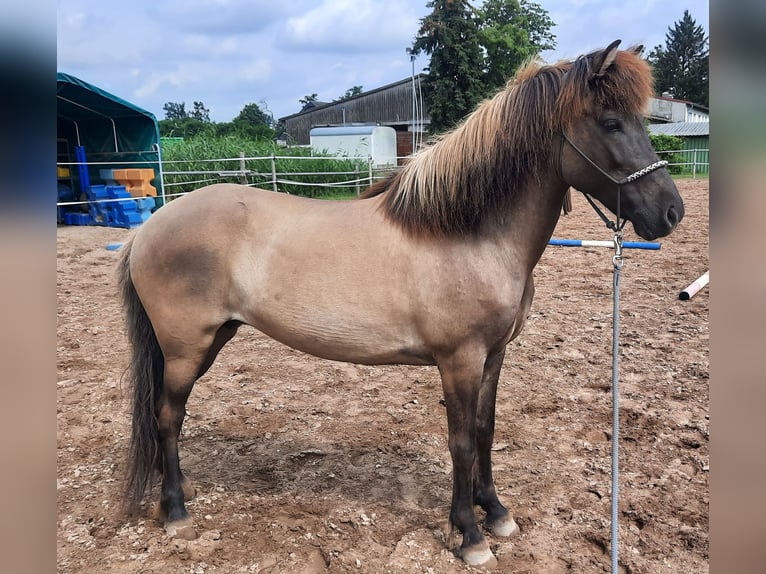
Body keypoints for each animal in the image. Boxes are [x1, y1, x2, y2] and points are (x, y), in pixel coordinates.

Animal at [118, 40, 683, 568]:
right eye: (611, 123)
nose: (671, 212)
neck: (468, 233)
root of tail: (148, 227)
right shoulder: (459, 360)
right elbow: (459, 440)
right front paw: (470, 536)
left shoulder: (493, 355)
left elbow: (485, 431)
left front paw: (496, 512)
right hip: (187, 346)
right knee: (167, 413)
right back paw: (176, 511)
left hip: (210, 340)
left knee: (170, 414)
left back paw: (179, 491)